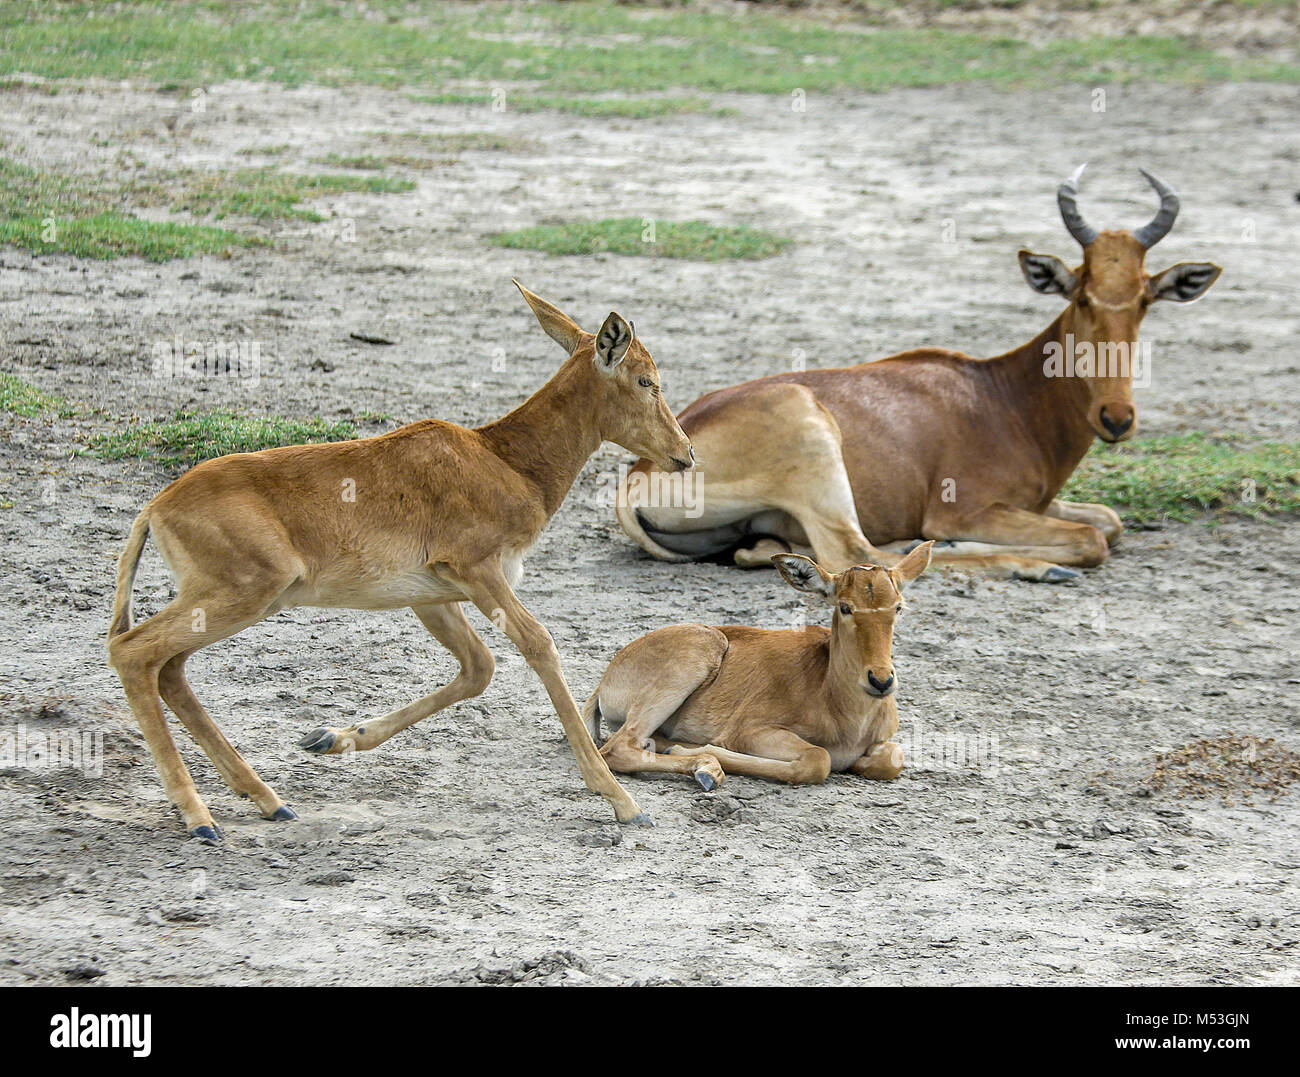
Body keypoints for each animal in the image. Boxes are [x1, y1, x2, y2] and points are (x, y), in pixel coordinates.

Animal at [106, 282, 696, 837]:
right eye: (645, 379)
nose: (685, 454)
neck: (502, 460)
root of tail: (156, 507)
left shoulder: (435, 597)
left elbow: (478, 668)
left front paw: (334, 737)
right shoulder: (478, 573)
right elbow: (541, 646)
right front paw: (622, 801)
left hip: (232, 603)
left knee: (169, 668)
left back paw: (268, 800)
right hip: (240, 596)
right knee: (134, 651)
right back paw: (199, 817)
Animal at [585, 543, 930, 785]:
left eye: (898, 607)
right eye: (845, 607)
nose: (880, 680)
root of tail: (608, 678)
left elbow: (892, 758)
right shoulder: (750, 732)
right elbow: (818, 759)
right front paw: (698, 753)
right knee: (618, 747)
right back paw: (702, 766)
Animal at [616, 170, 1216, 580]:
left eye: (1145, 298)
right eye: (1082, 294)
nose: (1115, 418)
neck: (1002, 395)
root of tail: (638, 472)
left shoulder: (1036, 504)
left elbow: (1108, 520)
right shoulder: (965, 510)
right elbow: (1093, 537)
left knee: (770, 551)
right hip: (815, 445)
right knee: (860, 556)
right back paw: (1029, 565)